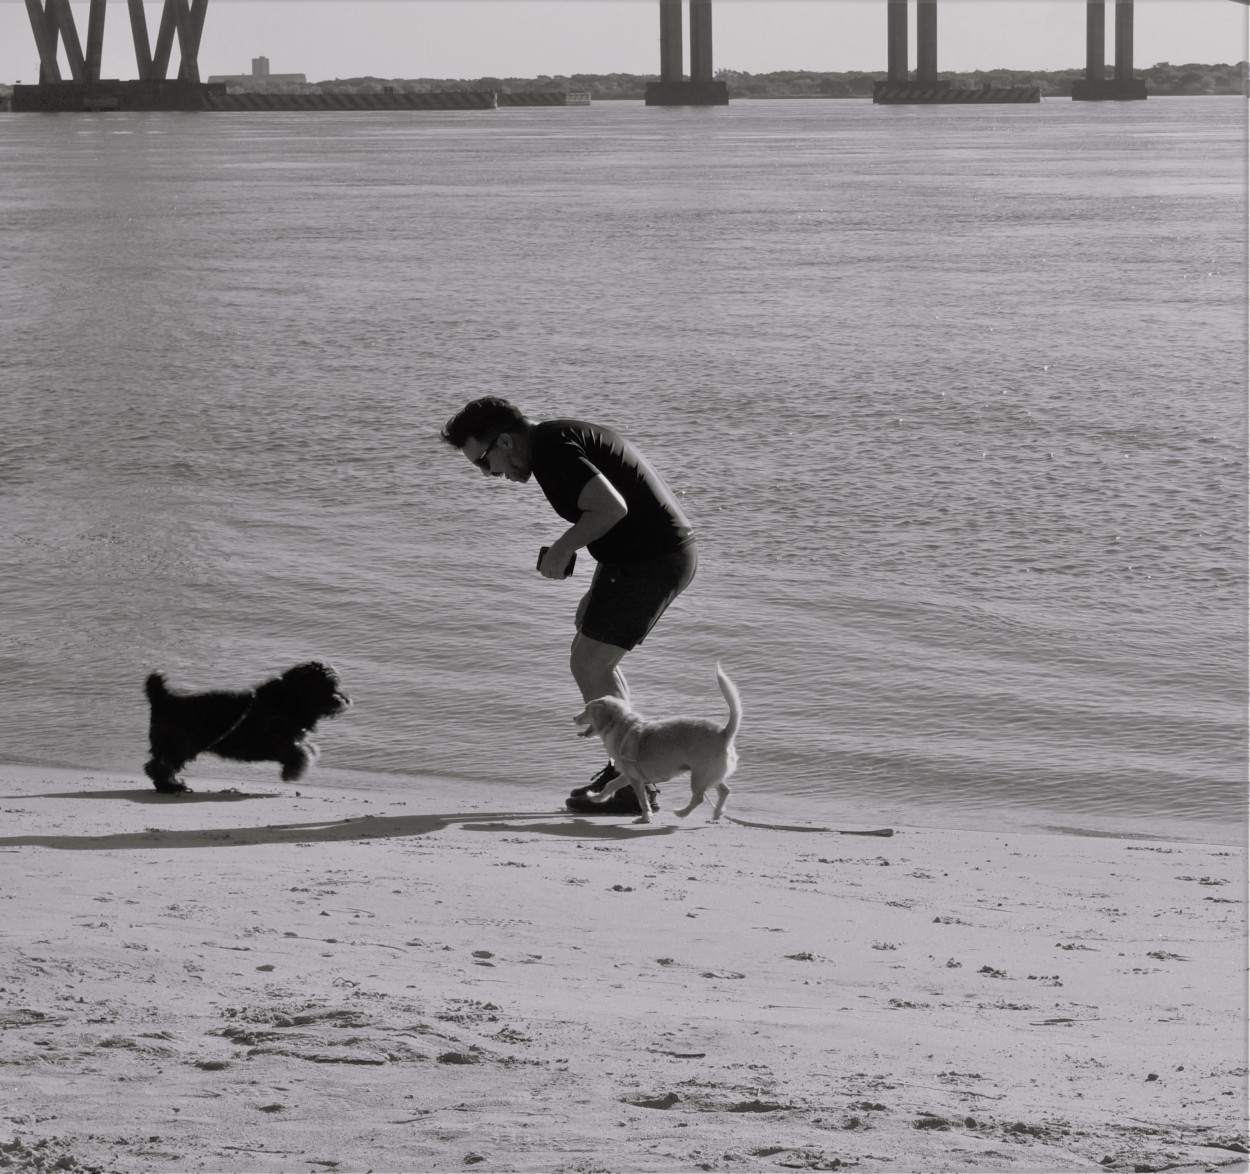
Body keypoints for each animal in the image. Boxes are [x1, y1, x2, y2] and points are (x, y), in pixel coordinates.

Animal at [143, 665, 352, 795]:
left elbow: (306, 749)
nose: (346, 700)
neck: (288, 699)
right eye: (329, 687)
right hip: (179, 744)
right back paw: (171, 786)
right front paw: (292, 772)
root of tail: (163, 697)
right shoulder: (279, 743)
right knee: (160, 765)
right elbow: (301, 753)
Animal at [575, 665, 740, 820]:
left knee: (699, 798)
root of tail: (723, 733)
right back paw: (717, 813)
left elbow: (642, 800)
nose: (574, 718)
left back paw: (682, 812)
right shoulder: (629, 775)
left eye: (587, 710)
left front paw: (645, 817)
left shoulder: (635, 779)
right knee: (725, 790)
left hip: (700, 777)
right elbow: (610, 785)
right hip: (709, 776)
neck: (617, 725)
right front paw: (596, 797)